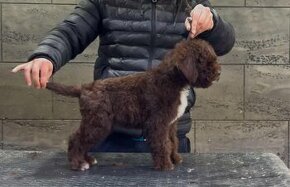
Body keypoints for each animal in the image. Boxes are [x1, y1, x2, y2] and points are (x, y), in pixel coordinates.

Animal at [46, 39, 221, 171]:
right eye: (205, 61)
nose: (218, 73)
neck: (172, 79)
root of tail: (84, 88)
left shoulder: (171, 124)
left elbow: (173, 142)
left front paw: (175, 158)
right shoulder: (158, 123)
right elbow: (163, 143)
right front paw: (165, 165)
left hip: (96, 123)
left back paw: (87, 159)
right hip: (97, 122)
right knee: (76, 139)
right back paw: (78, 163)